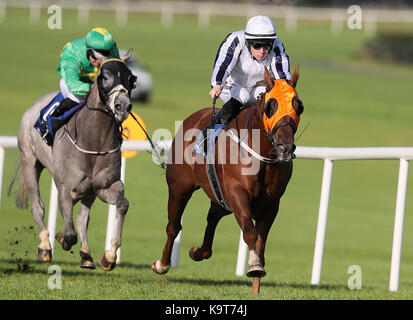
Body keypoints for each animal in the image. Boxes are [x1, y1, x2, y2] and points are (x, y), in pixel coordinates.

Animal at [16, 50, 136, 270]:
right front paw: (60, 238)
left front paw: (109, 256)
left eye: (132, 78)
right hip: (29, 161)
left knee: (82, 218)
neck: (94, 143)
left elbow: (122, 204)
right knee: (38, 207)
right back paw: (45, 246)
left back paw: (86, 254)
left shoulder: (106, 186)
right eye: (104, 77)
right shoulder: (65, 188)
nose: (122, 106)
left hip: (89, 191)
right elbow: (69, 234)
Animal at [151, 66, 302, 286]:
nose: (285, 147)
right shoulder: (237, 192)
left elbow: (261, 237)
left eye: (298, 106)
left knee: (212, 216)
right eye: (271, 105)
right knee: (173, 226)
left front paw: (258, 267)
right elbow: (250, 231)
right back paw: (162, 264)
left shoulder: (271, 202)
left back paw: (198, 251)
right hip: (180, 187)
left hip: (220, 196)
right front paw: (254, 266)